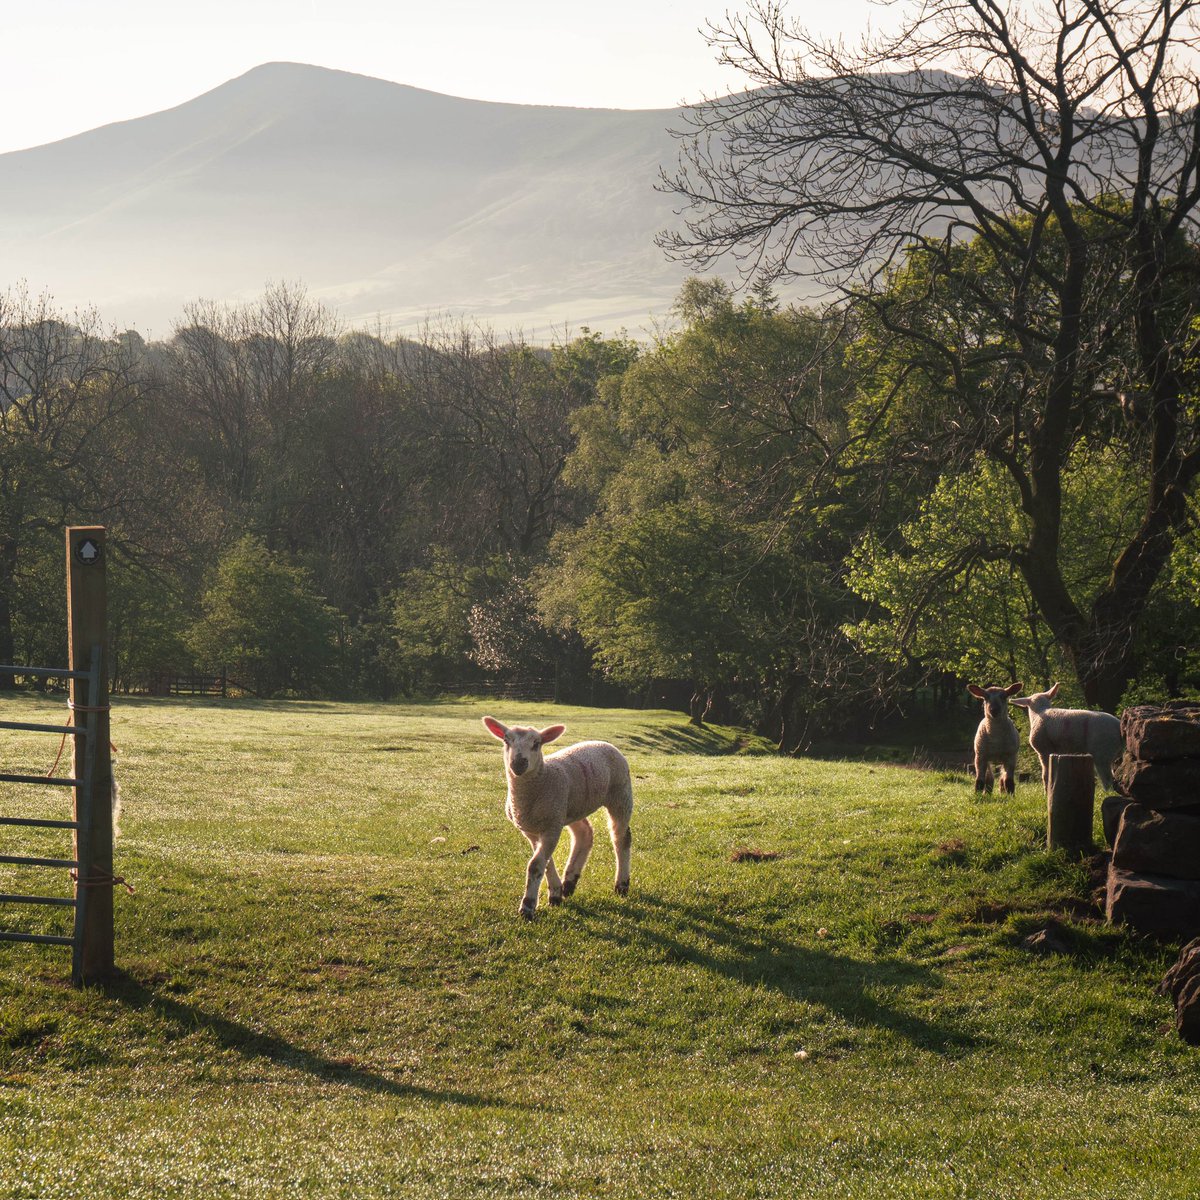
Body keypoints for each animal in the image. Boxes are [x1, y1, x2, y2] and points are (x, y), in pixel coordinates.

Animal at [480, 715, 638, 921]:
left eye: (536, 743)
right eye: (506, 740)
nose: (518, 764)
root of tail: (604, 742)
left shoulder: (552, 826)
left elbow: (536, 865)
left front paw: (528, 907)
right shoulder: (532, 829)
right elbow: (545, 863)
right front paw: (555, 894)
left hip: (620, 794)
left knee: (621, 838)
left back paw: (621, 885)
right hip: (571, 806)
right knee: (585, 834)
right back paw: (570, 881)